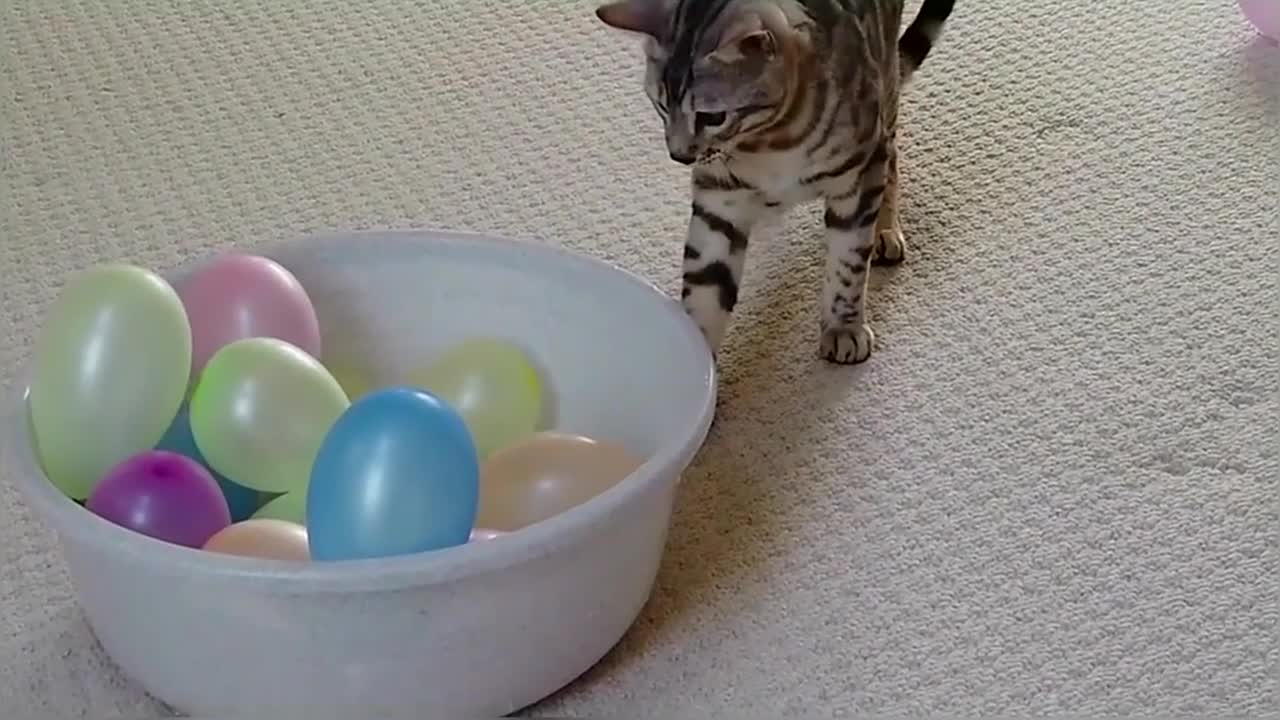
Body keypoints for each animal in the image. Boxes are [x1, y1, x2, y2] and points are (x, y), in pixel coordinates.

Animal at [596, 0, 952, 361]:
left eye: (713, 117)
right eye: (661, 106)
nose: (679, 154)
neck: (771, 144)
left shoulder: (857, 177)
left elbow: (848, 262)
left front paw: (843, 327)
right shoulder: (719, 202)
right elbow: (707, 286)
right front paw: (697, 357)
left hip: (883, 89)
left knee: (890, 155)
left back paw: (884, 228)